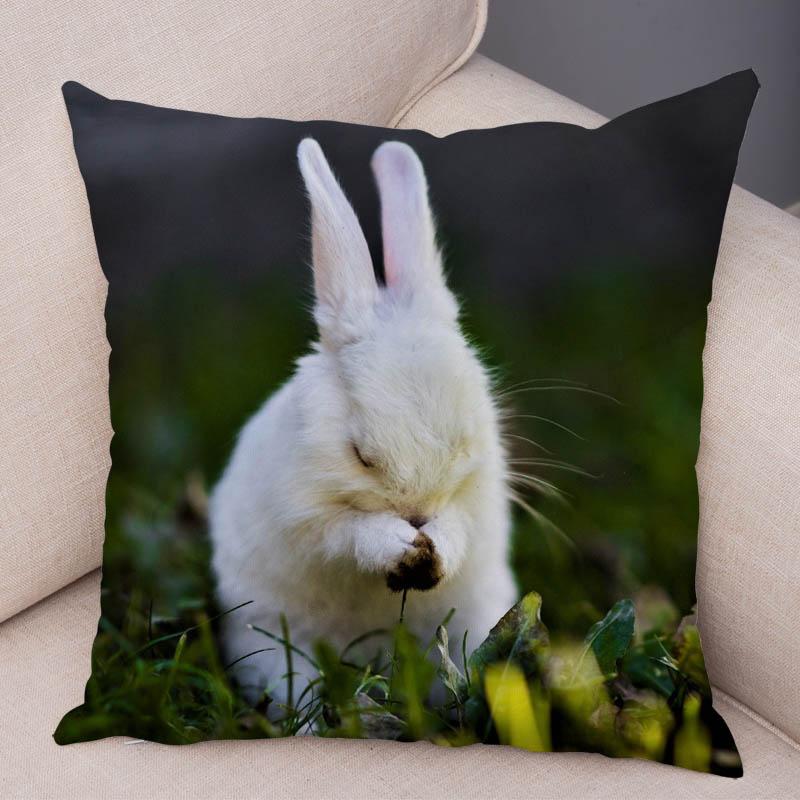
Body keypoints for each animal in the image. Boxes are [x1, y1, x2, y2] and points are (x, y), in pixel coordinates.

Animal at [210, 137, 517, 708]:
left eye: (462, 446)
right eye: (361, 456)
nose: (417, 514)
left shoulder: (478, 501)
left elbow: (460, 526)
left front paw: (435, 546)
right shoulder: (306, 517)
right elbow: (346, 533)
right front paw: (400, 544)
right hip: (272, 644)